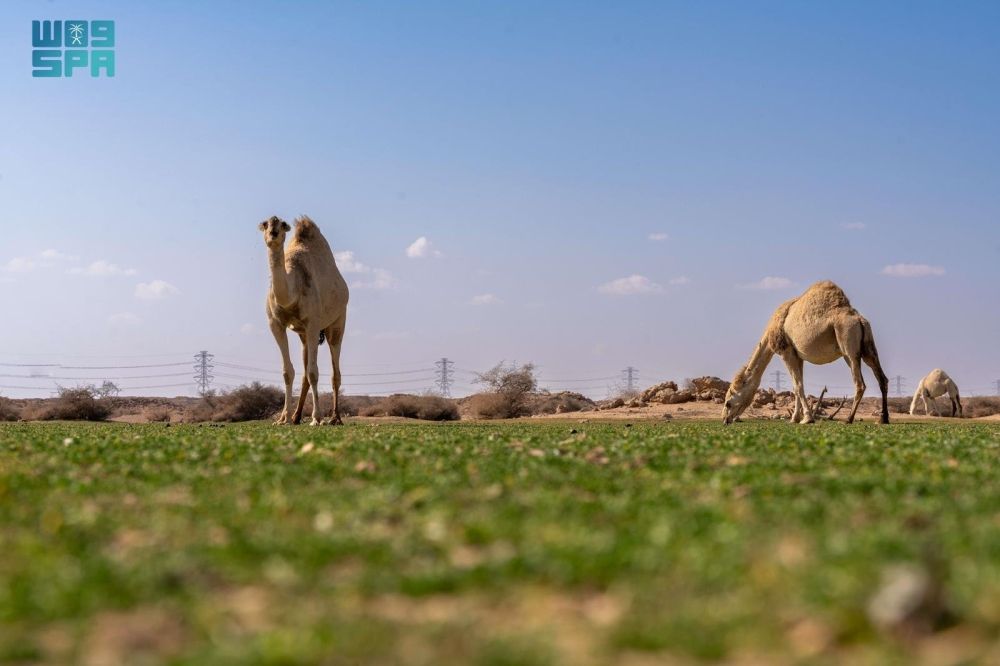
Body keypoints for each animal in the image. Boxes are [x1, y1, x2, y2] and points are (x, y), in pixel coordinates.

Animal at [260, 218, 350, 426]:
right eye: (265, 223)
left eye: (282, 224)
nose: (273, 233)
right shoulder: (275, 324)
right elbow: (288, 372)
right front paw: (282, 418)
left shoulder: (313, 324)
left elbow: (314, 372)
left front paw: (317, 418)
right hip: (303, 336)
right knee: (304, 373)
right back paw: (296, 417)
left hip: (338, 321)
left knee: (335, 373)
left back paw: (335, 418)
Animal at [720, 278, 892, 422]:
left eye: (728, 402)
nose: (725, 419)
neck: (770, 335)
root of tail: (859, 319)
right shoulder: (798, 356)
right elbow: (797, 385)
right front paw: (795, 418)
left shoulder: (786, 351)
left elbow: (798, 386)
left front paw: (807, 418)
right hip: (868, 347)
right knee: (882, 379)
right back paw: (883, 419)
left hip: (848, 345)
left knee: (860, 383)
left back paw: (848, 419)